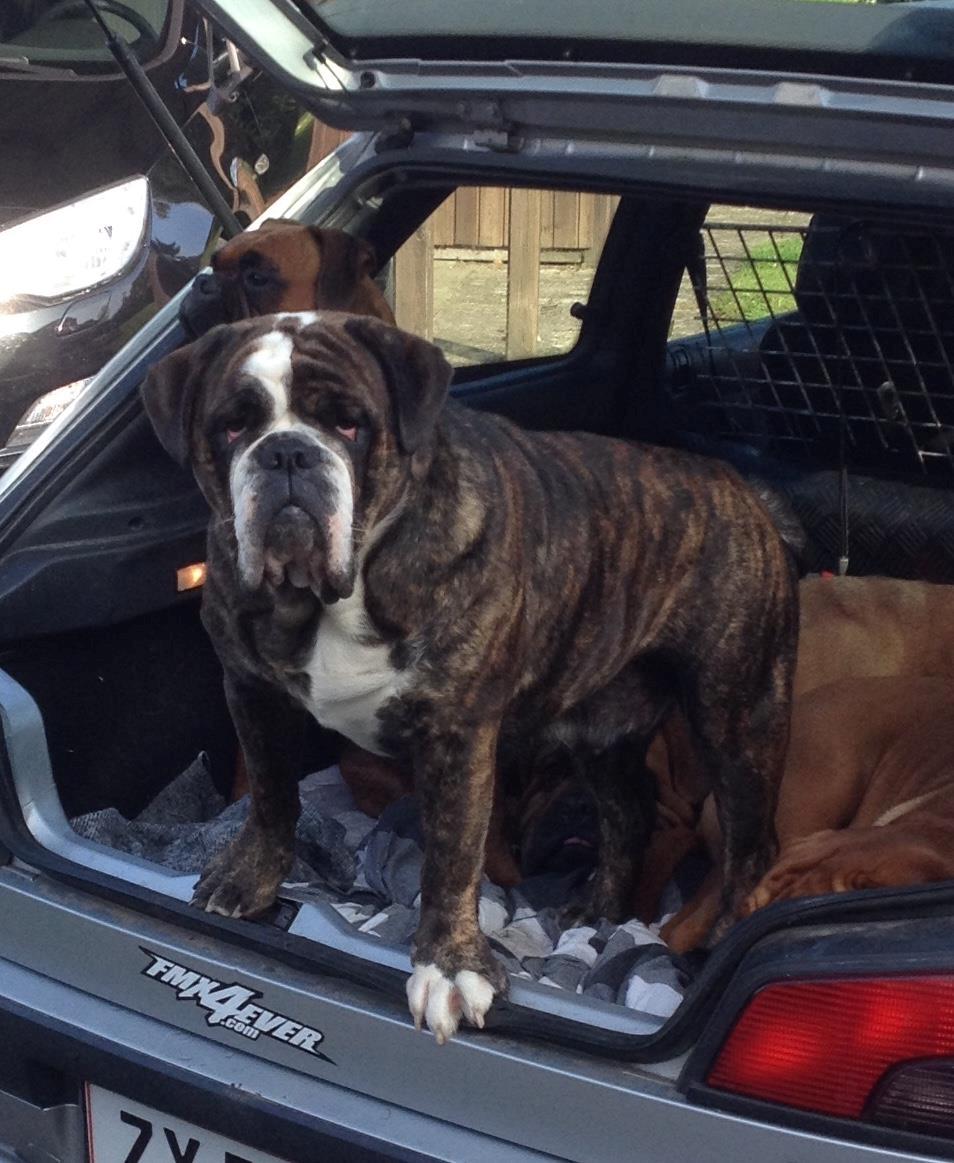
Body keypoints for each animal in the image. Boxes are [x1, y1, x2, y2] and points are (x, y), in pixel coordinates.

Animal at [141, 309, 795, 1046]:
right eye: (231, 428)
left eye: (348, 424)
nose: (285, 453)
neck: (335, 595)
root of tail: (745, 490)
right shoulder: (250, 692)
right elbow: (272, 795)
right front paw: (247, 879)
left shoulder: (458, 733)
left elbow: (453, 854)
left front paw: (449, 968)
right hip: (600, 727)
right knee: (628, 810)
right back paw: (594, 908)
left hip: (736, 718)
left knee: (750, 846)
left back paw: (718, 938)